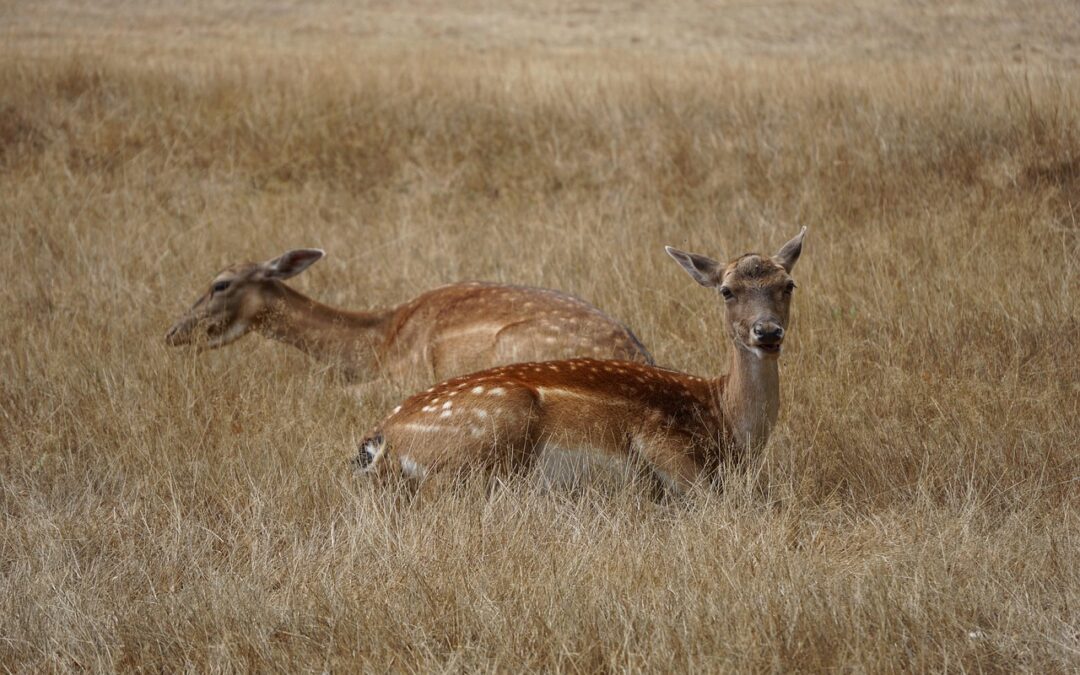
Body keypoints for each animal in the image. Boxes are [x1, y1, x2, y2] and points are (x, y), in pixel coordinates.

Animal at [349, 226, 807, 494]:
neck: (722, 419)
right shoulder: (659, 437)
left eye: (789, 284)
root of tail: (380, 438)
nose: (767, 332)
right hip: (494, 425)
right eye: (727, 290)